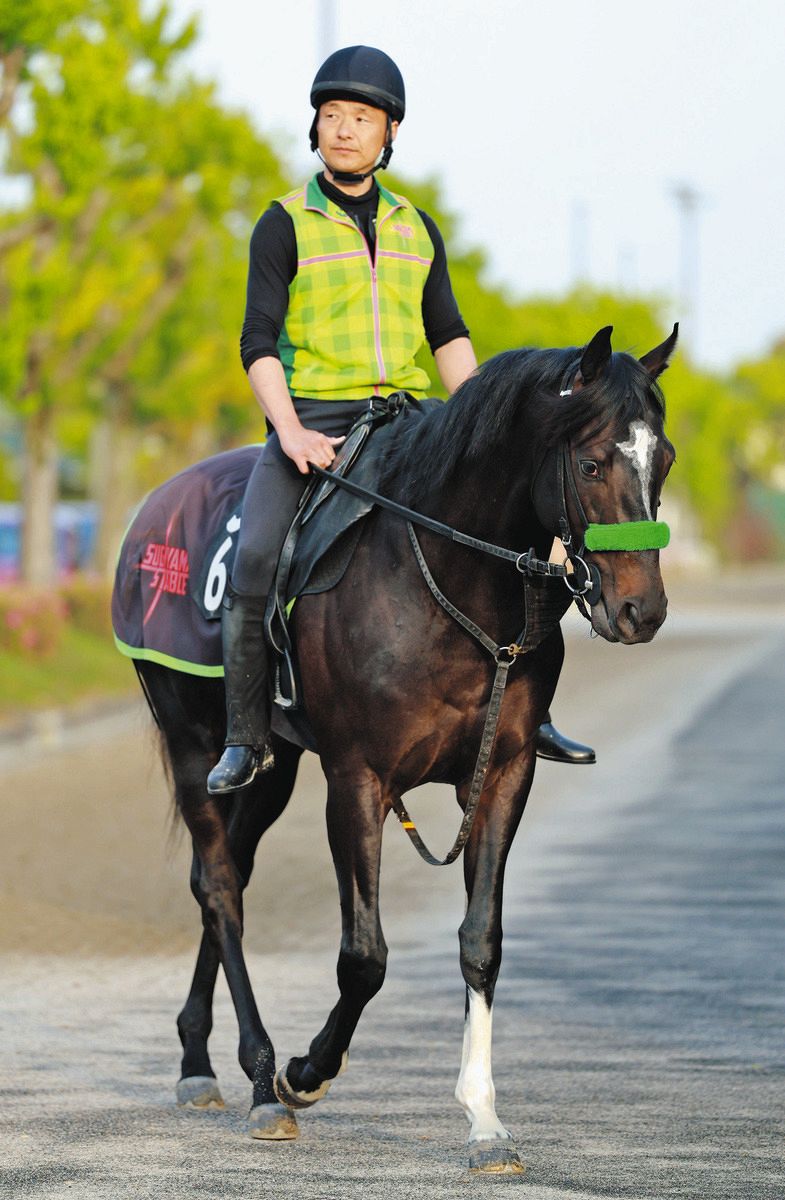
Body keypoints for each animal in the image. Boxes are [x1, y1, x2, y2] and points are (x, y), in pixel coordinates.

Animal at [125, 324, 677, 1175]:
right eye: (590, 463)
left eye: (666, 459)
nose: (639, 611)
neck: (446, 582)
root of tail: (154, 506)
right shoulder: (357, 779)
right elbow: (364, 956)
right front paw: (304, 1072)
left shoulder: (502, 775)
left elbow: (481, 942)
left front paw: (484, 1122)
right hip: (194, 745)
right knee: (218, 888)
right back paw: (258, 1077)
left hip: (272, 765)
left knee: (228, 880)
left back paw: (196, 1060)